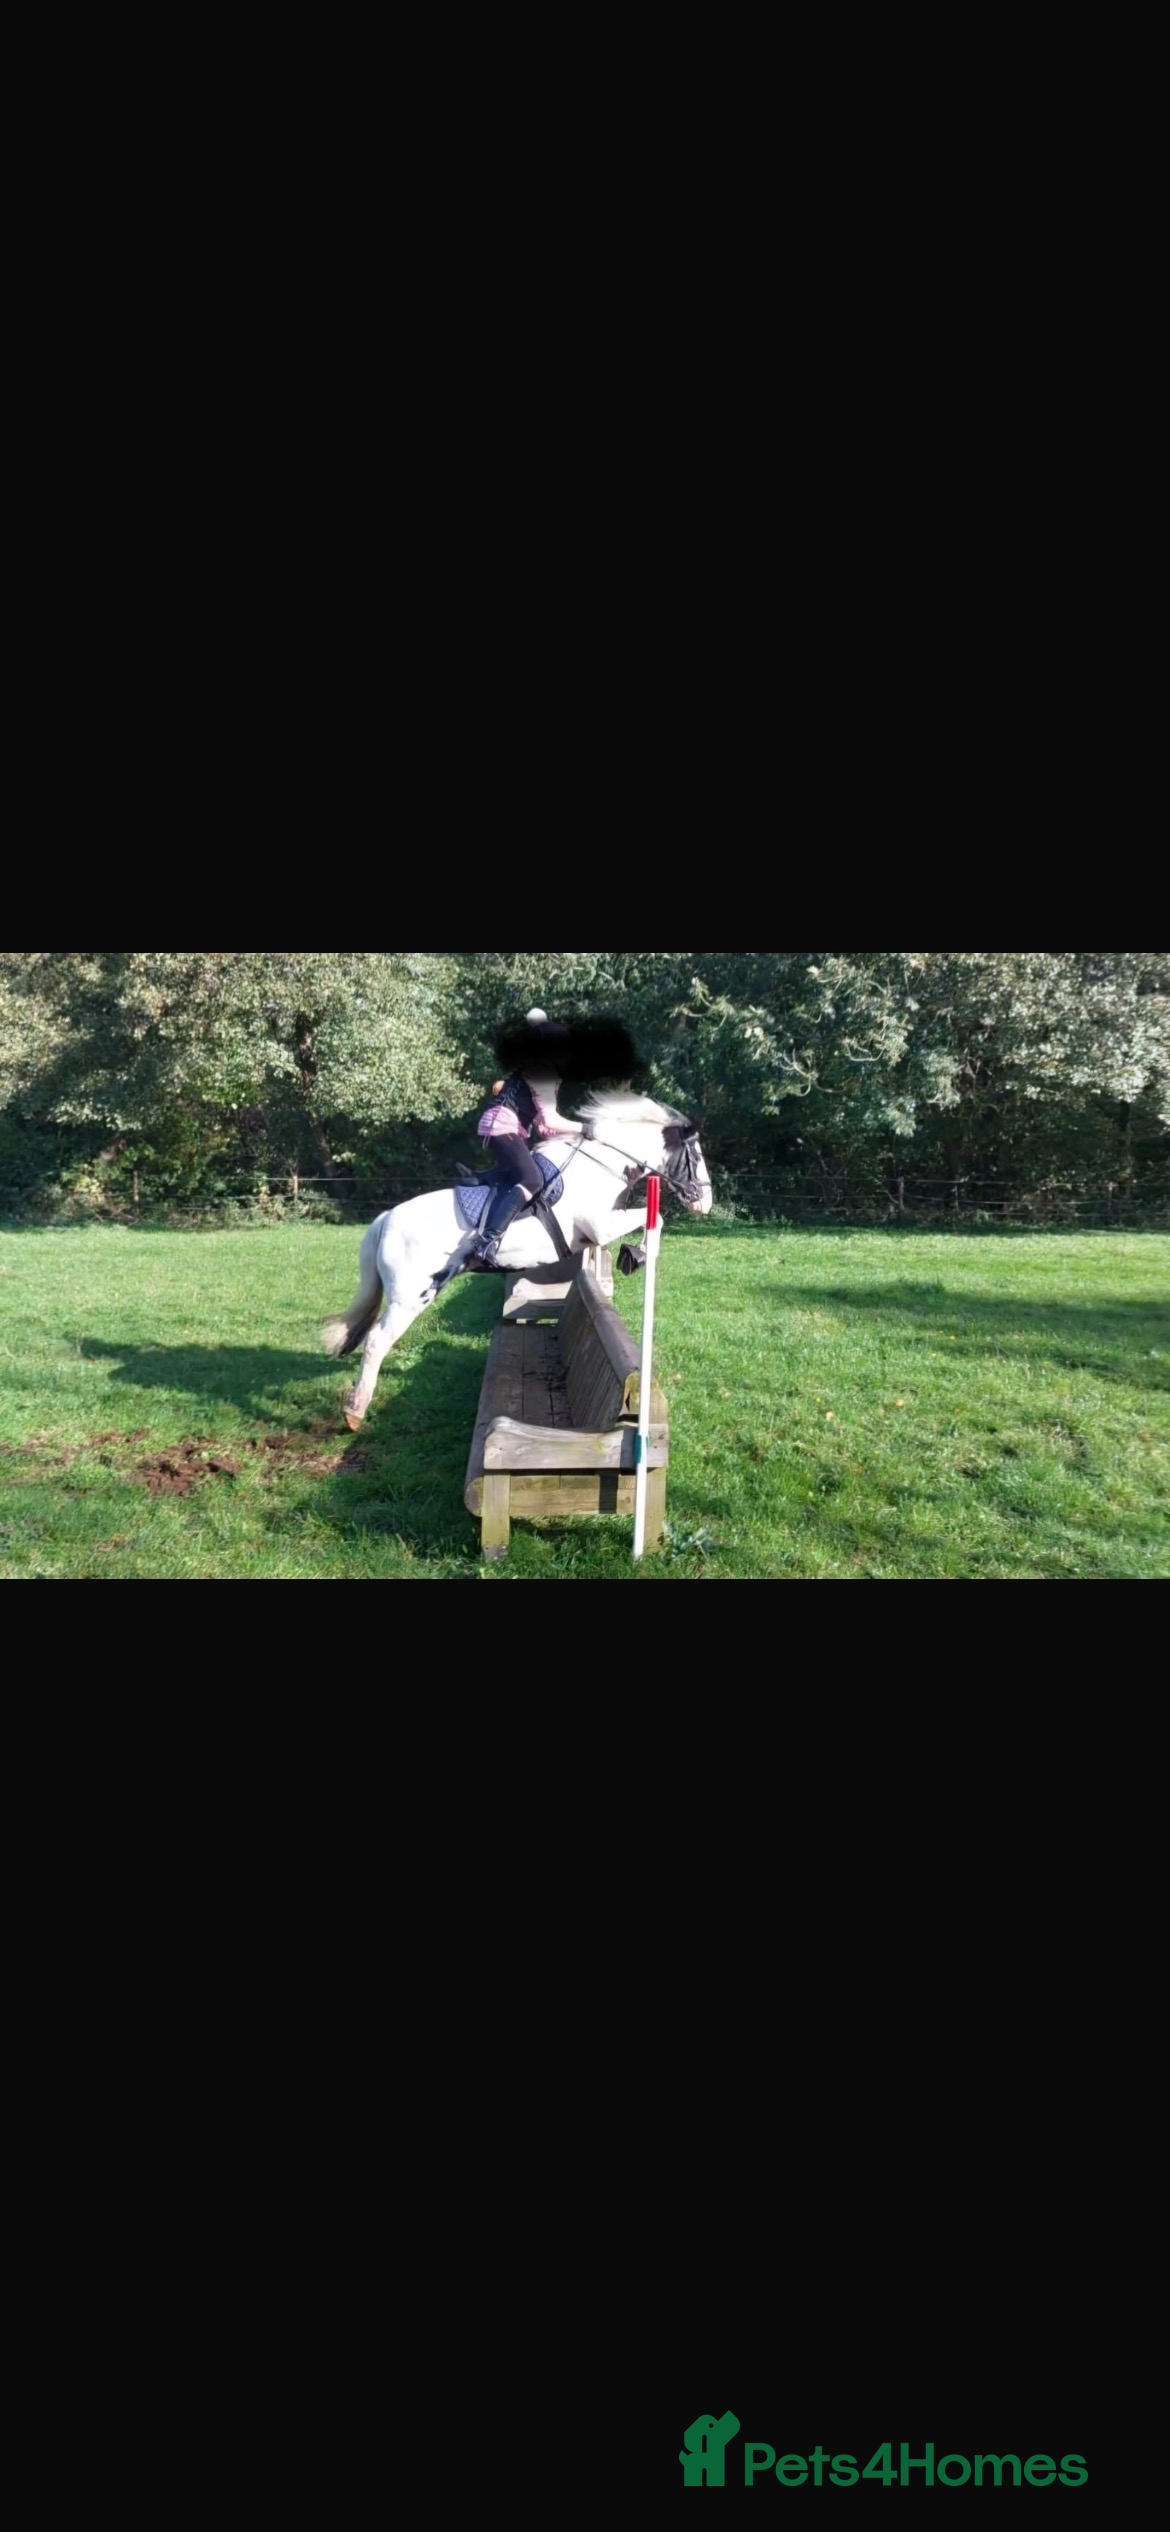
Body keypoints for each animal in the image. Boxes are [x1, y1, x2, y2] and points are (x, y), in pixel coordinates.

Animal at [322, 1096, 713, 1430]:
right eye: (695, 1156)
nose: (704, 1203)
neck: (602, 1168)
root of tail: (386, 1218)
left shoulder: (593, 1235)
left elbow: (650, 1221)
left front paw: (636, 1255)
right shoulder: (600, 1226)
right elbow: (655, 1216)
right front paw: (637, 1255)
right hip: (411, 1296)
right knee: (376, 1342)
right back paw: (355, 1411)